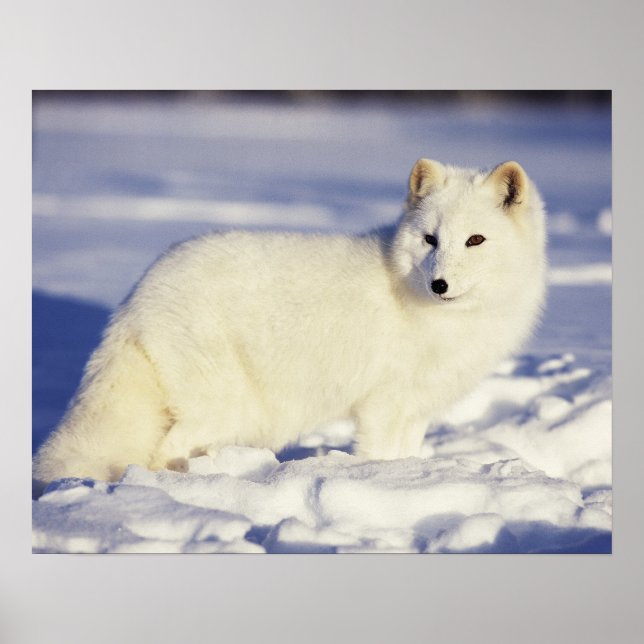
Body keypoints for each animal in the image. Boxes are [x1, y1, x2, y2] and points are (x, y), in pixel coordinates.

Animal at [33, 158, 547, 489]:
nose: (439, 284)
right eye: (430, 239)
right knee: (163, 452)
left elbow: (406, 452)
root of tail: (138, 294)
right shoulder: (382, 405)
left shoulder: (416, 407)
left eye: (475, 240)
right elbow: (379, 455)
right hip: (228, 406)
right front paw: (385, 483)